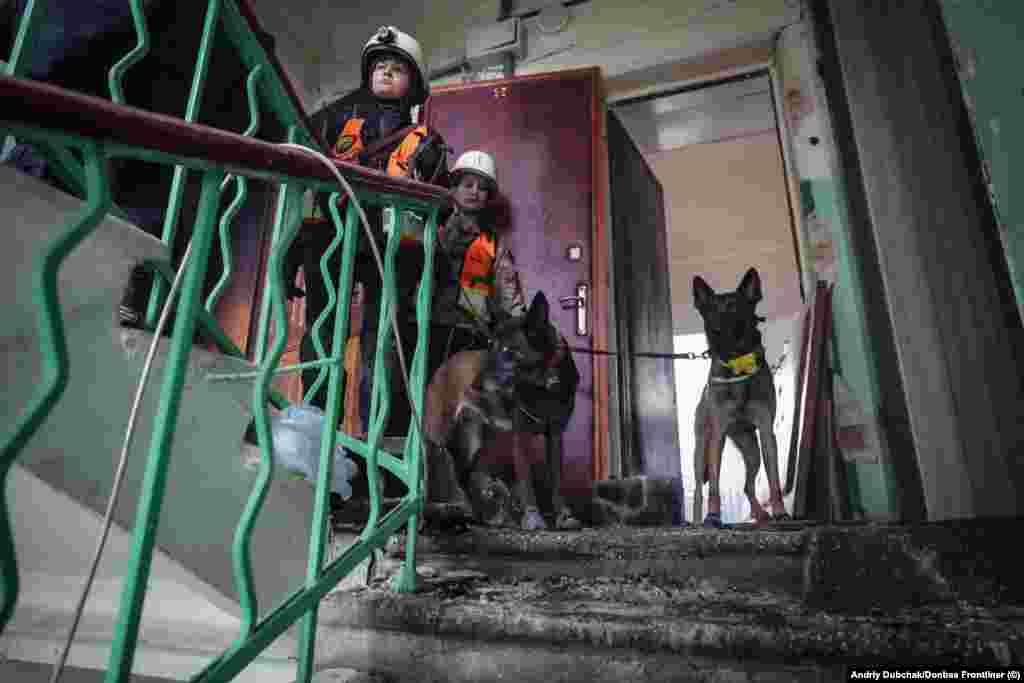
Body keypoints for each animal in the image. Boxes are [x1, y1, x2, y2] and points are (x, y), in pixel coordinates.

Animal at [423, 290, 585, 532]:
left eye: (508, 351)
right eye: (491, 345)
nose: (472, 387)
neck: (544, 383)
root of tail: (446, 363)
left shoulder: (555, 434)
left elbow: (557, 479)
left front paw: (563, 516)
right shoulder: (521, 436)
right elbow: (526, 481)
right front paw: (533, 518)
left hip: (475, 439)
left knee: (467, 474)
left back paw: (484, 516)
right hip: (436, 438)